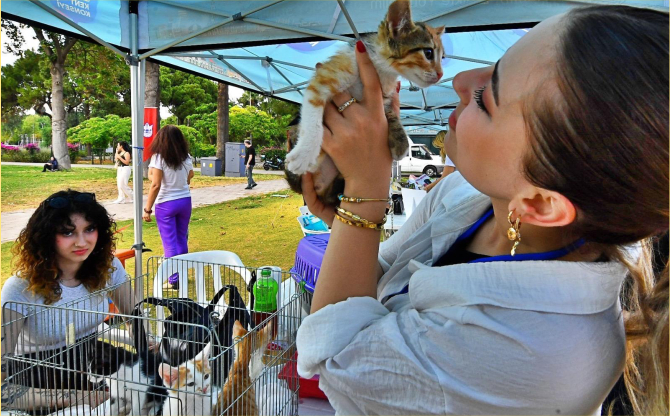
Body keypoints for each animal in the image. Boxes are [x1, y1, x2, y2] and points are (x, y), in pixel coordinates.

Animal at [284, 0, 446, 205]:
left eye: (442, 57)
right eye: (428, 52)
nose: (440, 74)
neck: (382, 69)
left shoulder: (383, 96)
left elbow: (389, 113)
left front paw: (400, 141)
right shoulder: (324, 79)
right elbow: (313, 118)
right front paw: (304, 153)